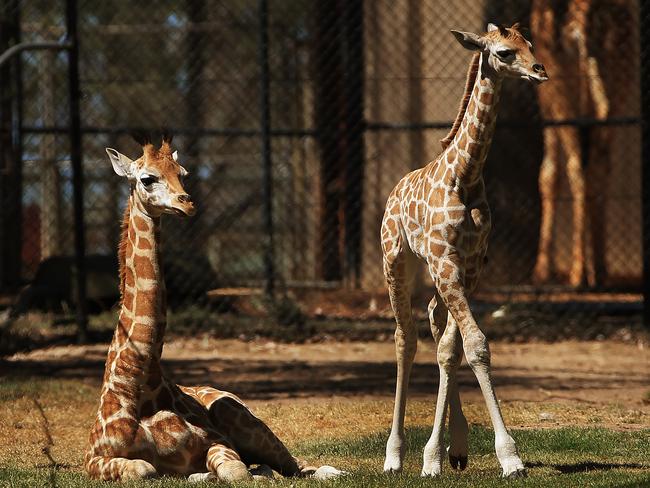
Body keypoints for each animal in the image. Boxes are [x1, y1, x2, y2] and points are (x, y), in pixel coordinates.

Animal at [83, 135, 342, 482]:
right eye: (147, 178)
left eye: (183, 173)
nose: (187, 203)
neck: (142, 383)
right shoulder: (94, 457)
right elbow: (144, 468)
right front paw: (202, 475)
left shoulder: (219, 441)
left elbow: (236, 472)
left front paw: (234, 474)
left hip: (240, 415)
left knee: (298, 466)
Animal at [380, 23, 548, 476]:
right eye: (505, 53)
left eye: (531, 46)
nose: (540, 71)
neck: (466, 174)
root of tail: (394, 190)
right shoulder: (444, 261)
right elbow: (474, 345)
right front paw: (509, 457)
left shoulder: (470, 264)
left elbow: (457, 349)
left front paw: (443, 453)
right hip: (395, 260)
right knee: (405, 338)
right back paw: (393, 455)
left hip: (439, 274)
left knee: (436, 326)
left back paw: (452, 449)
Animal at [528, 0, 632, 286]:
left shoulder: (546, 106)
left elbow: (548, 175)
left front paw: (542, 270)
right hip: (617, 84)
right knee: (599, 164)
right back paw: (599, 269)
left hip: (558, 89)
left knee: (575, 167)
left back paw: (578, 272)